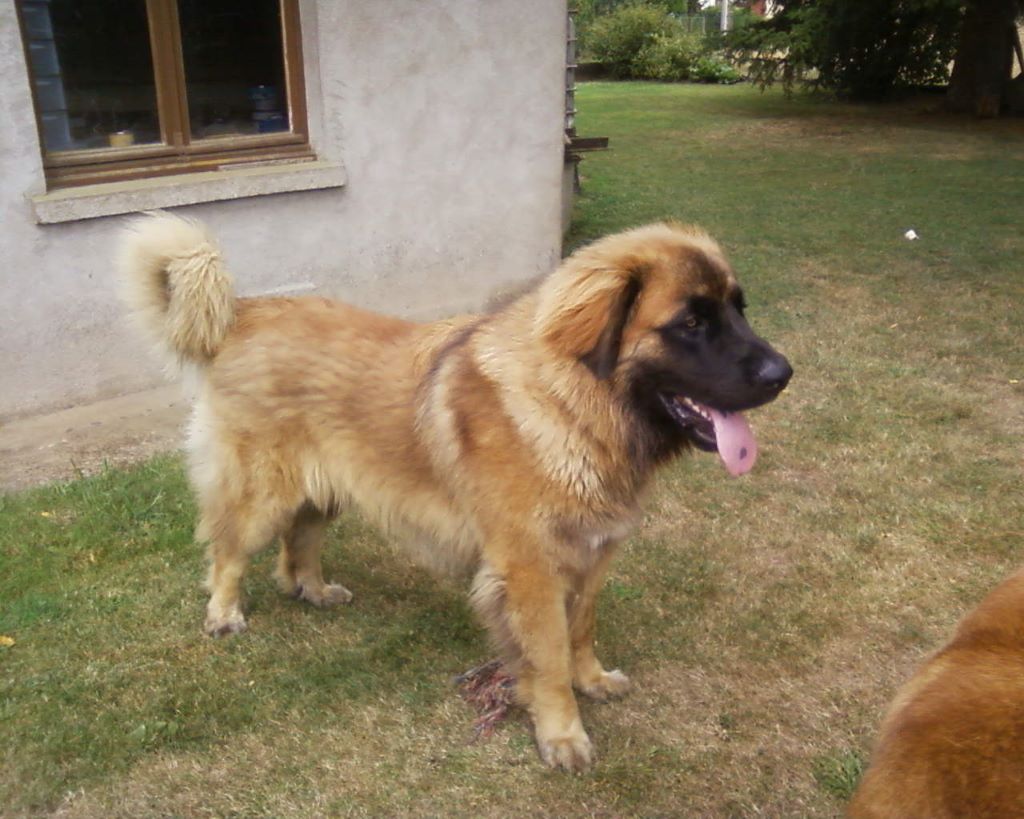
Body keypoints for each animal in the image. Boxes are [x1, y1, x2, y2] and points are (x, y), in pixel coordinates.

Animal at [118, 212, 791, 770]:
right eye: (691, 323)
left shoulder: (595, 552)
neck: (572, 404)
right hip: (261, 493)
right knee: (228, 551)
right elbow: (548, 655)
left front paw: (592, 679)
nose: (782, 373)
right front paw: (562, 734)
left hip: (325, 489)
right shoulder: (530, 569)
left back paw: (312, 588)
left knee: (297, 542)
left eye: (739, 310)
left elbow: (581, 628)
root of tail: (244, 312)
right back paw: (225, 613)